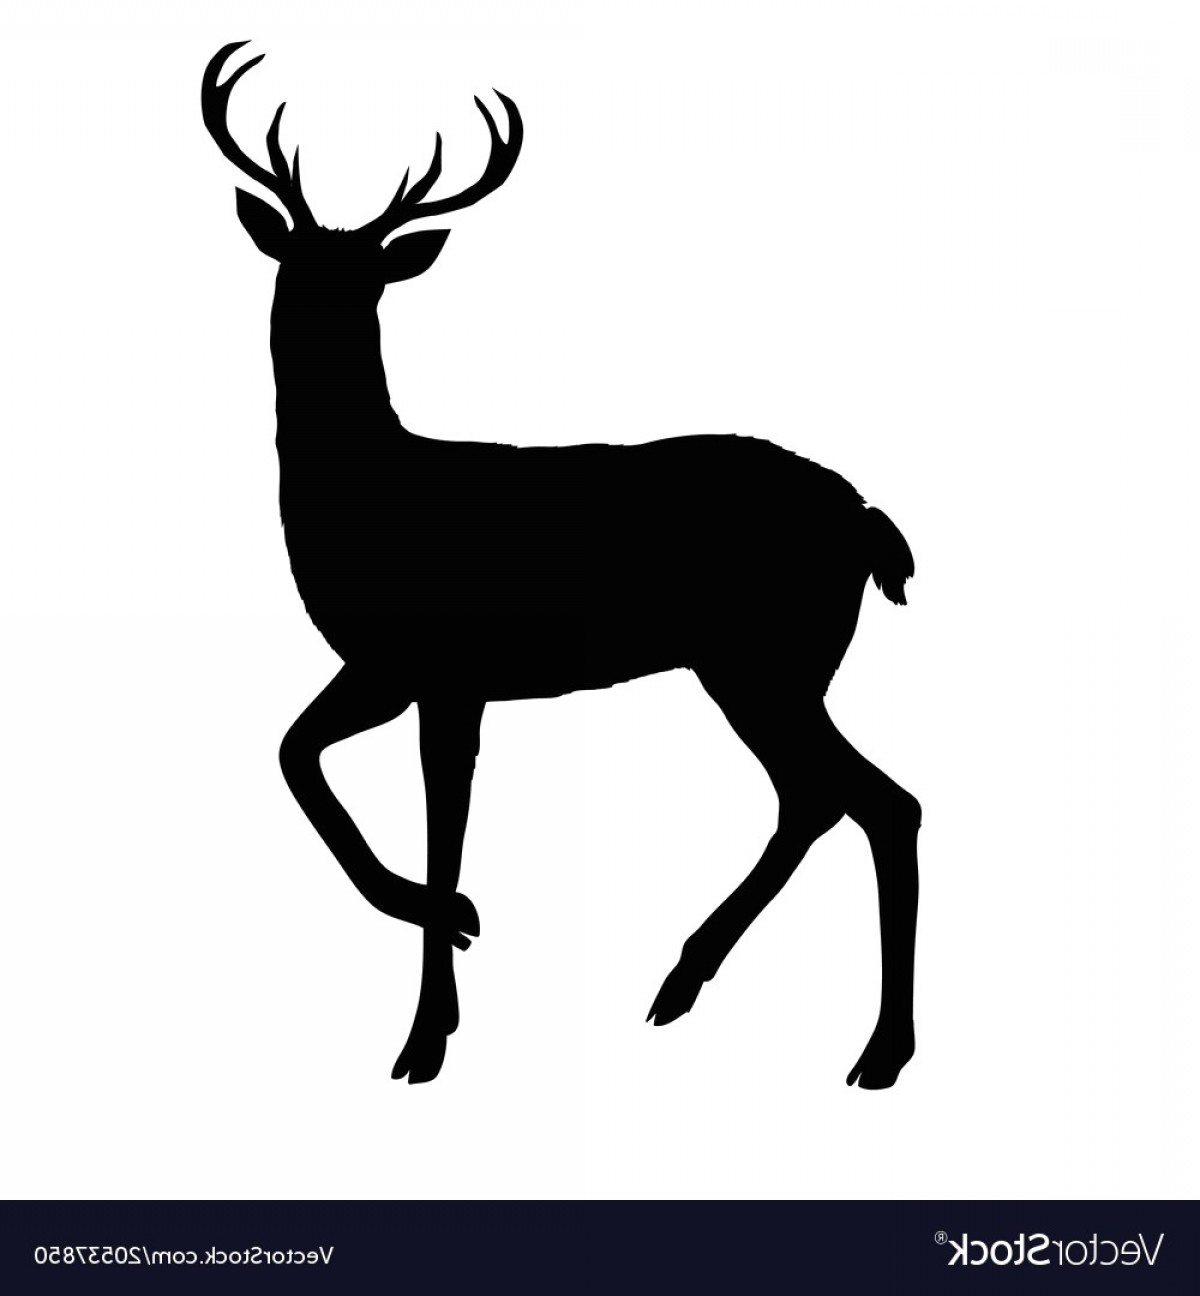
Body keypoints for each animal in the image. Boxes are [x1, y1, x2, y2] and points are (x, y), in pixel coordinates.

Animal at [201, 41, 921, 1088]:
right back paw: (683, 985)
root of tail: (866, 520)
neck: (369, 500)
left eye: (369, 277)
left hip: (767, 658)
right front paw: (443, 964)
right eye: (293, 262)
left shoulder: (440, 664)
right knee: (818, 797)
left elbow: (423, 815)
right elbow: (303, 756)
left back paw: (877, 1052)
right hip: (762, 668)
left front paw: (428, 1021)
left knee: (876, 802)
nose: (311, 324)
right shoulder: (396, 668)